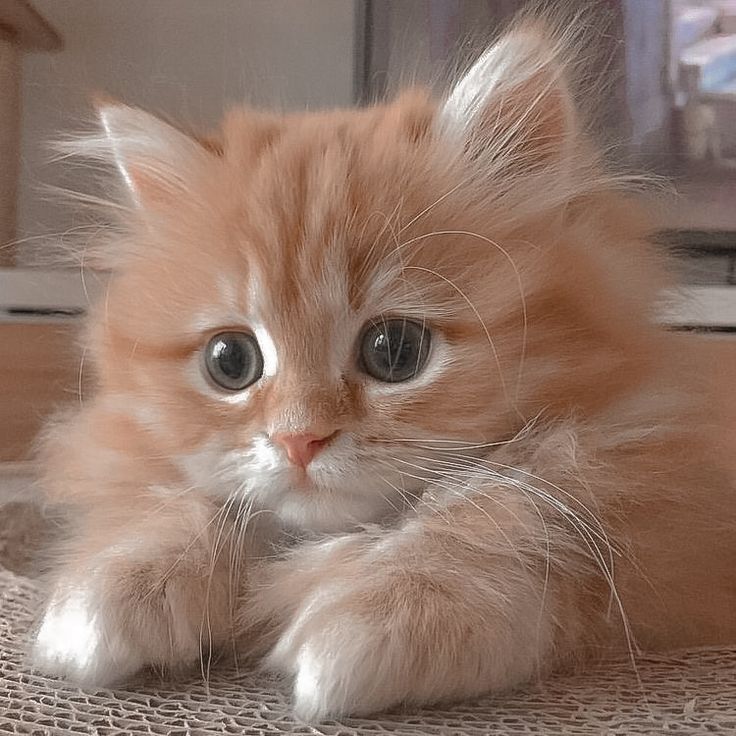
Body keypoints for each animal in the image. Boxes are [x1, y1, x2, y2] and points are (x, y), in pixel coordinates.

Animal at [28, 15, 736, 720]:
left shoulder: (657, 505)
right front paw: (111, 592)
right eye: (231, 361)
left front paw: (385, 616)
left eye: (395, 351)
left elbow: (496, 517)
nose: (299, 441)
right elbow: (174, 505)